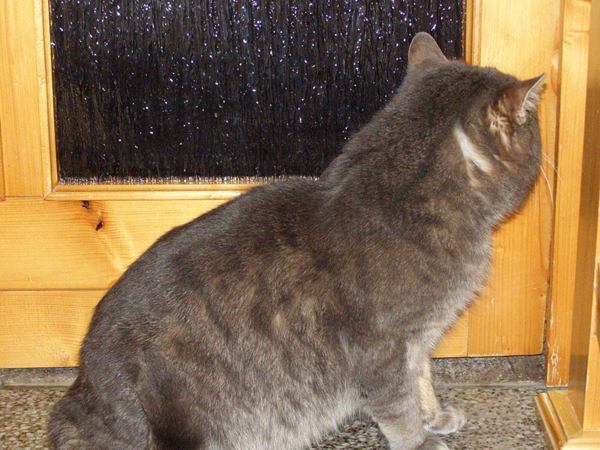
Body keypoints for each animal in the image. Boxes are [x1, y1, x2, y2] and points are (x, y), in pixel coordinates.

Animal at [48, 32, 545, 450]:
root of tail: (83, 392)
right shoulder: (382, 352)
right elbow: (398, 407)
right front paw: (420, 440)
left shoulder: (418, 340)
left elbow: (422, 382)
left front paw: (435, 416)